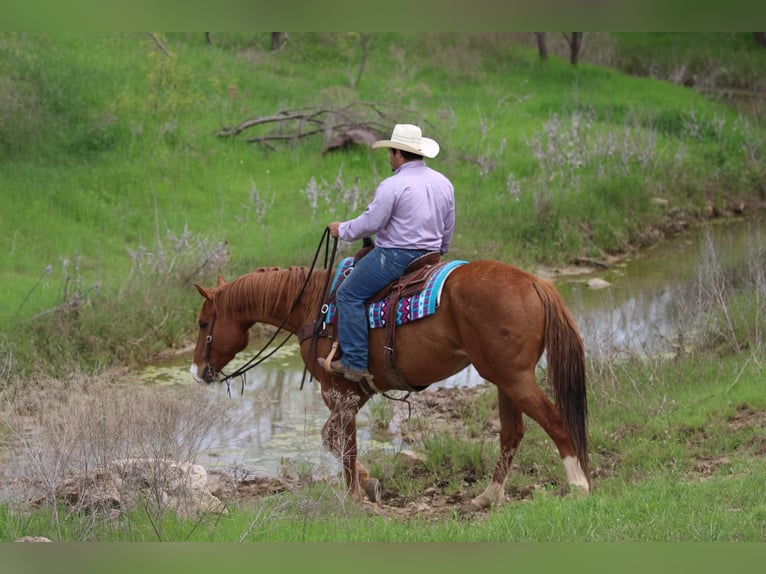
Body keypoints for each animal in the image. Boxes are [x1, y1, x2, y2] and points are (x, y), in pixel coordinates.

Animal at [190, 260, 588, 508]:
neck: (313, 306)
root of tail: (537, 282)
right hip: (504, 380)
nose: (197, 371)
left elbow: (345, 443)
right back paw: (487, 497)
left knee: (555, 421)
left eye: (203, 323)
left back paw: (579, 486)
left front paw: (353, 495)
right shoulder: (358, 390)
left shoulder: (337, 389)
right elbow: (332, 438)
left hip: (513, 378)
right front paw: (368, 485)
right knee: (511, 433)